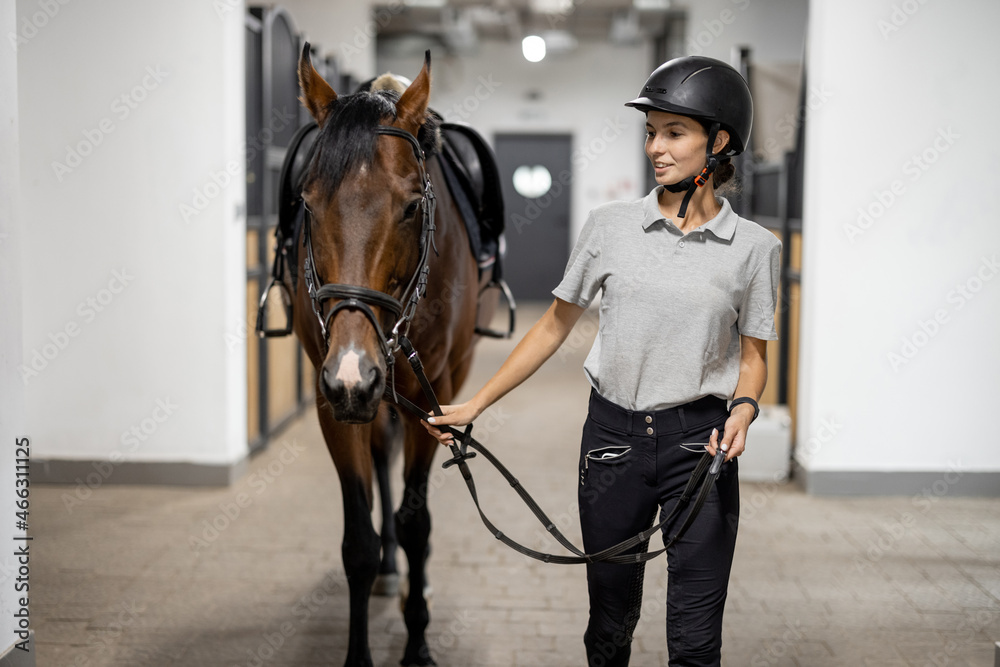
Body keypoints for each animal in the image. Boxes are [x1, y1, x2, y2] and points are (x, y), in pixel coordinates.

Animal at [292, 44, 486, 664]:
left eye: (410, 207)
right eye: (308, 204)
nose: (354, 371)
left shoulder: (436, 393)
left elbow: (418, 521)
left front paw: (418, 641)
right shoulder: (333, 398)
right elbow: (360, 541)